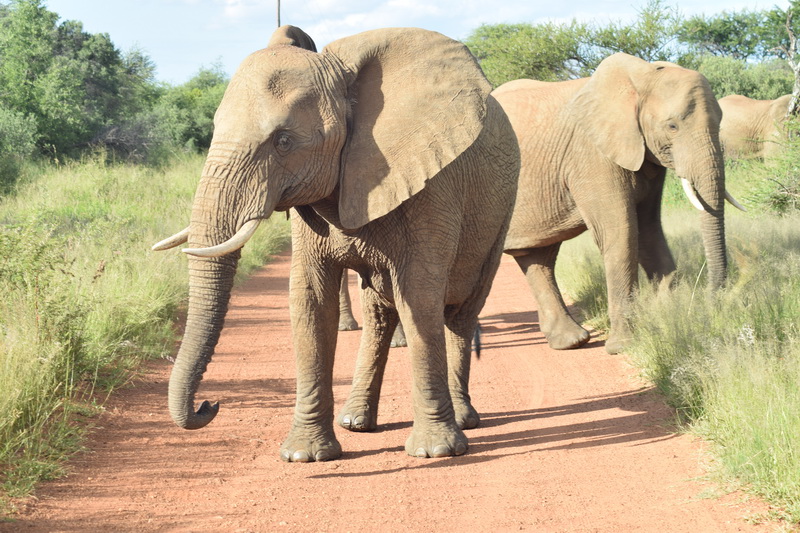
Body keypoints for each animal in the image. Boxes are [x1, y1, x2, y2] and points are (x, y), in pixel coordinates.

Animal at [152, 25, 520, 460]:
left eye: (283, 141)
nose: (209, 404)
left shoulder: (433, 184)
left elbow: (419, 296)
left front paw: (435, 452)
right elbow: (311, 300)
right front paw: (305, 455)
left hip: (501, 212)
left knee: (461, 310)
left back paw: (463, 420)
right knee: (379, 312)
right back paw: (356, 422)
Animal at [490, 53, 748, 354]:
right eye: (672, 126)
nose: (711, 303)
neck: (641, 76)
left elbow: (649, 230)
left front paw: (665, 320)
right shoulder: (592, 154)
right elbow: (622, 233)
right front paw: (625, 346)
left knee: (537, 256)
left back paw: (571, 342)